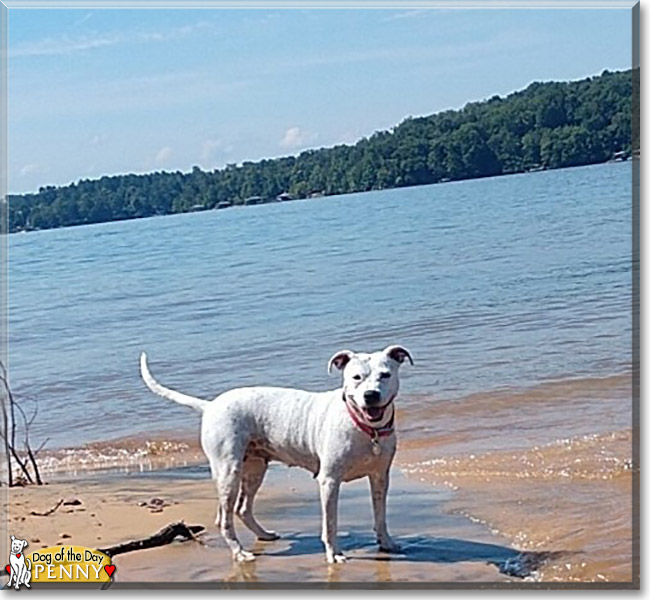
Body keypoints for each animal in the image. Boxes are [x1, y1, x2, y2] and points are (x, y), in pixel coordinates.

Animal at [140, 344, 412, 564]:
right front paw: (334, 554)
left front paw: (387, 543)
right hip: (229, 472)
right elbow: (330, 524)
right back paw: (239, 553)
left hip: (255, 469)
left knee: (242, 508)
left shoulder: (380, 477)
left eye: (385, 375)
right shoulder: (329, 481)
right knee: (225, 518)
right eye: (356, 377)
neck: (365, 428)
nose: (371, 395)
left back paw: (264, 535)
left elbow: (380, 515)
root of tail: (211, 406)